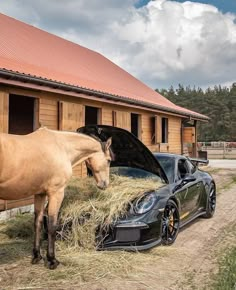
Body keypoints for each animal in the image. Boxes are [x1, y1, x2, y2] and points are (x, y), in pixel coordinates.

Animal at [0, 127, 112, 270]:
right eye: (108, 160)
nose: (104, 184)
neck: (62, 147)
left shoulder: (40, 194)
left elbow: (38, 223)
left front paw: (37, 256)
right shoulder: (56, 193)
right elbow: (52, 226)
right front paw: (52, 260)